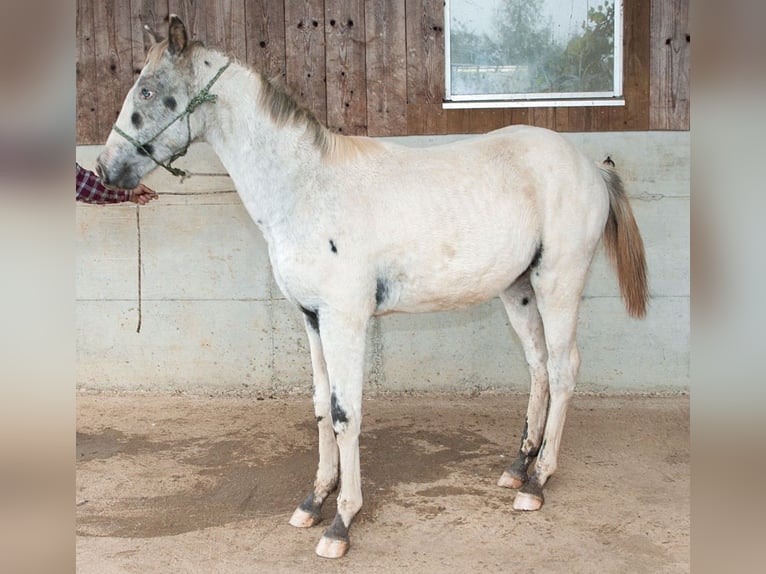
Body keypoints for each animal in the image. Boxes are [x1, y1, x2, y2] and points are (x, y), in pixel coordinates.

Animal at [94, 15, 648, 560]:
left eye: (147, 90)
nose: (105, 168)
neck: (307, 188)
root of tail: (591, 168)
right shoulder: (312, 320)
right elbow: (321, 408)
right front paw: (313, 501)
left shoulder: (345, 320)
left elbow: (346, 413)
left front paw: (341, 523)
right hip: (517, 289)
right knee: (537, 368)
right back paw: (517, 468)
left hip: (559, 284)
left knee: (563, 369)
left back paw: (537, 483)